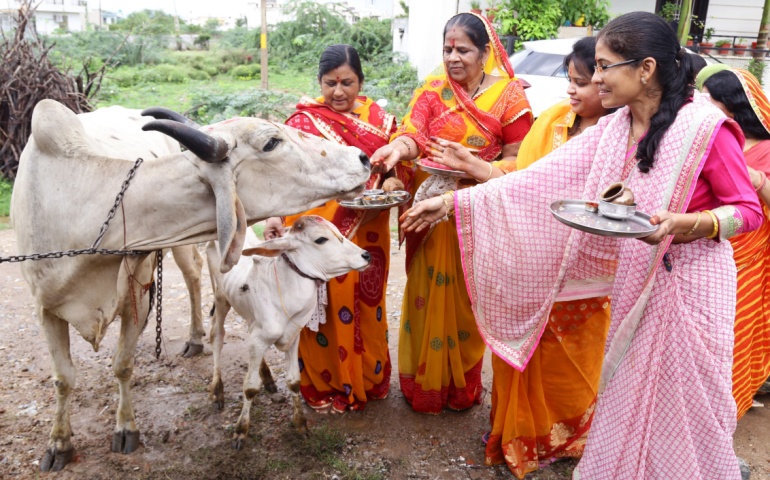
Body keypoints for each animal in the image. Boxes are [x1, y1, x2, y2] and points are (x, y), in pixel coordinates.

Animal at [206, 218, 370, 450]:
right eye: (321, 239)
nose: (366, 255)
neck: (284, 289)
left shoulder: (292, 338)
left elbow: (293, 380)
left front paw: (301, 424)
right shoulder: (259, 341)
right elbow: (250, 387)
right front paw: (241, 431)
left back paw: (267, 377)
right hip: (221, 298)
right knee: (217, 336)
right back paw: (217, 390)